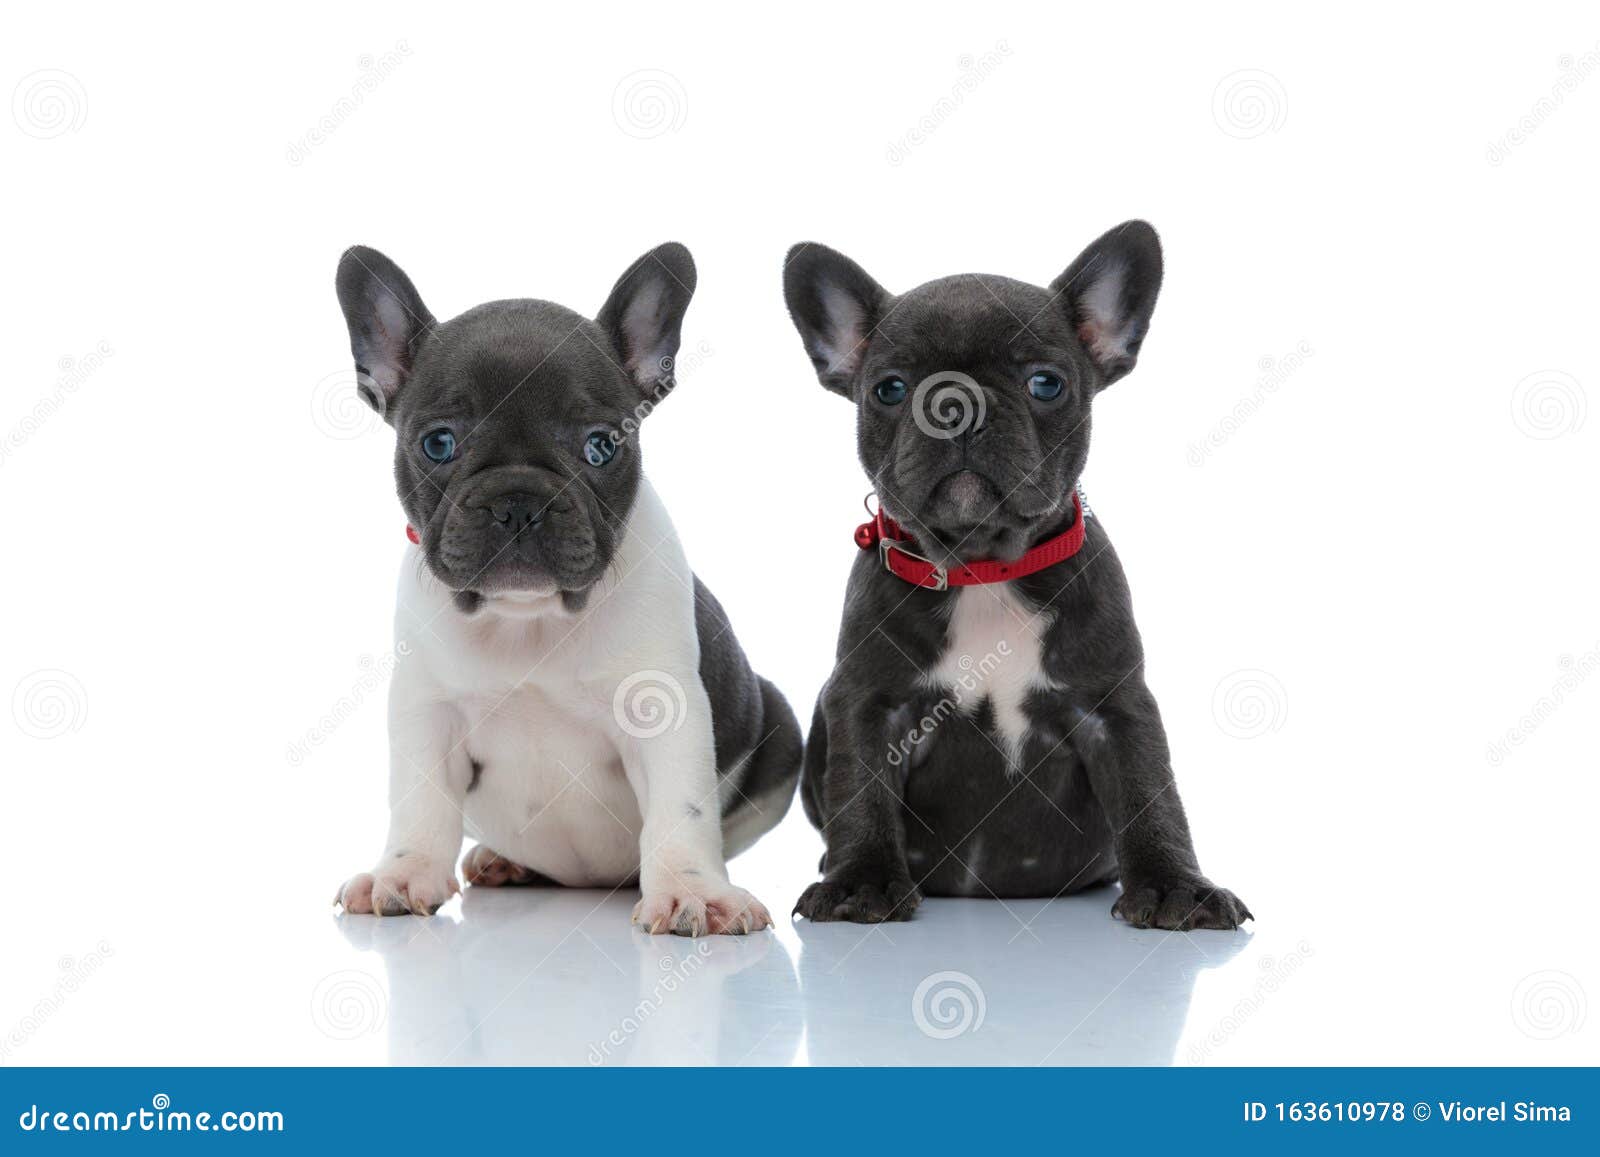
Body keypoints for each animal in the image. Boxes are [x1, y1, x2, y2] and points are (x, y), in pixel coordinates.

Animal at [332, 241, 800, 934]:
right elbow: (420, 802)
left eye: (601, 446)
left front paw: (691, 892)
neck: (527, 622)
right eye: (438, 443)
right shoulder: (427, 713)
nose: (519, 501)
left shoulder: (666, 712)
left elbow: (681, 809)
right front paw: (403, 872)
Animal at [777, 224, 1248, 934]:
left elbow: (1150, 793)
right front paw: (860, 880)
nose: (955, 404)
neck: (984, 566)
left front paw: (1175, 887)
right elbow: (861, 790)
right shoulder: (866, 703)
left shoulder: (1116, 705)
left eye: (1045, 383)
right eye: (889, 389)